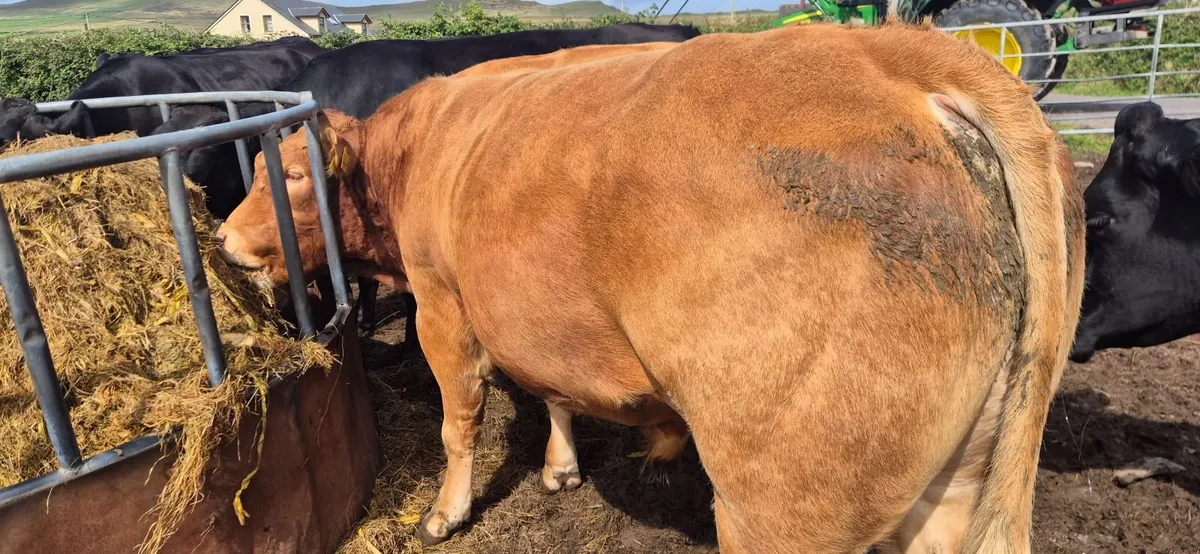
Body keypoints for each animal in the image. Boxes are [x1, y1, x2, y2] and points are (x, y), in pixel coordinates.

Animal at [214, 22, 1085, 552]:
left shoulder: (443, 303)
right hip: (960, 475)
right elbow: (553, 386)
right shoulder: (534, 308)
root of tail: (890, 54)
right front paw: (562, 465)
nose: (222, 238)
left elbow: (459, 423)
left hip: (783, 493)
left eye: (293, 176)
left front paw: (443, 513)